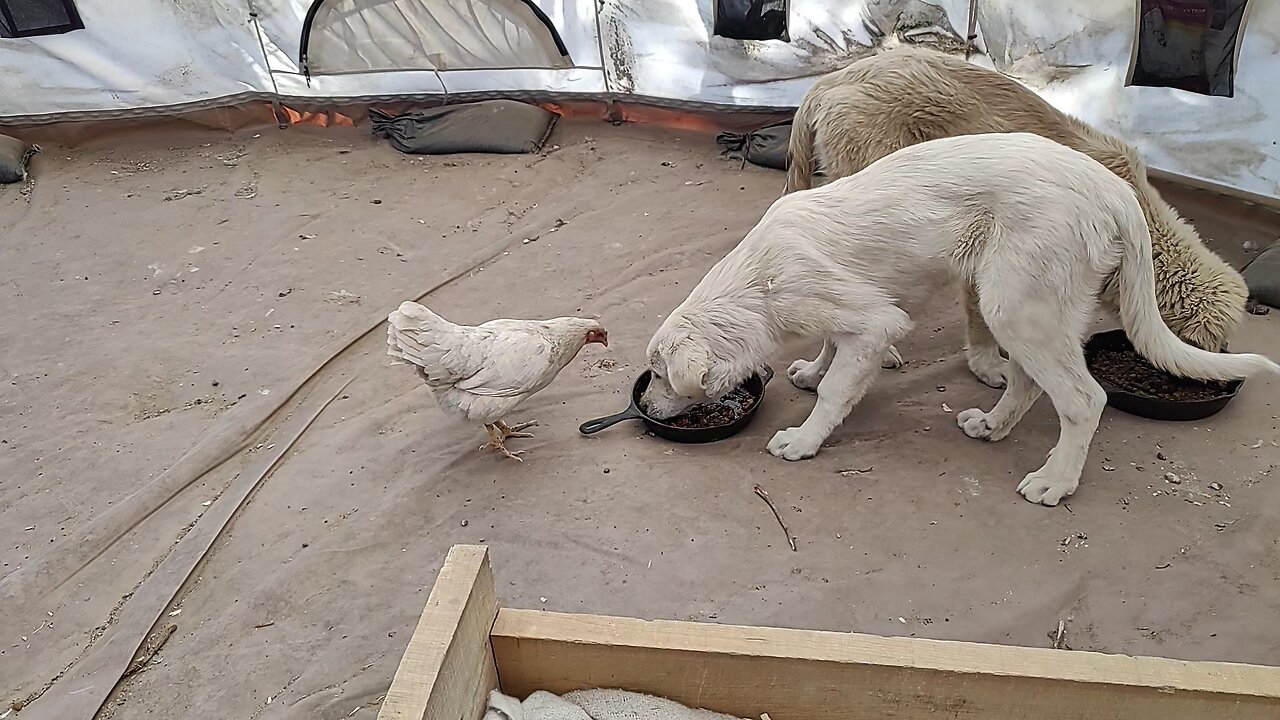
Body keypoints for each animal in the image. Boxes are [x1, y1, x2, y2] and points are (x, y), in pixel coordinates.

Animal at [645, 131, 1274, 502]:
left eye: (657, 374)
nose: (645, 408)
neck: (757, 282)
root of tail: (1114, 188)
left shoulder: (876, 322)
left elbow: (835, 392)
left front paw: (804, 439)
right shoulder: (847, 312)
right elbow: (828, 350)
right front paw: (811, 369)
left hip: (1011, 301)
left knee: (1082, 399)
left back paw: (1055, 482)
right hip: (1034, 307)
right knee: (1030, 381)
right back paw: (993, 427)